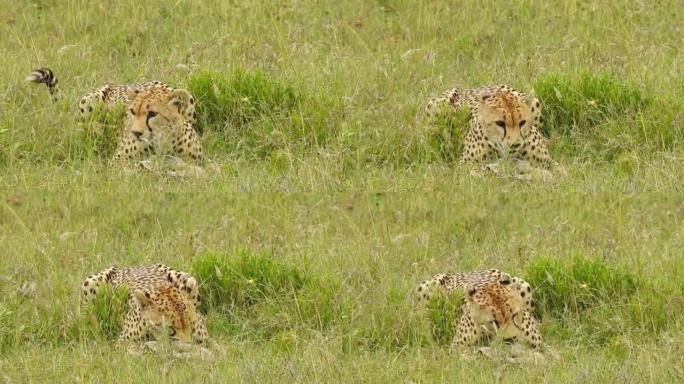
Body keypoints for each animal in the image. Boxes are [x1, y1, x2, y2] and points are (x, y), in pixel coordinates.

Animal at [414, 270, 544, 348]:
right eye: (493, 321)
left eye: (515, 315)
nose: (511, 339)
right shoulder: (456, 349)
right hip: (425, 289)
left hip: (522, 283)